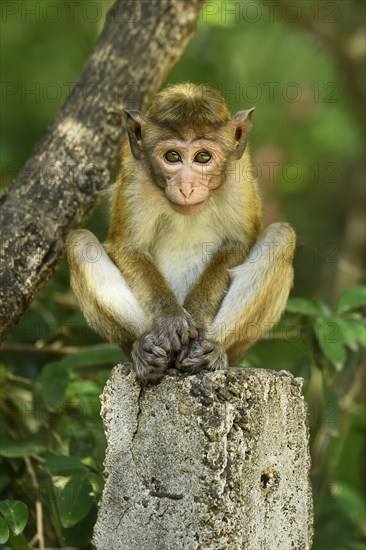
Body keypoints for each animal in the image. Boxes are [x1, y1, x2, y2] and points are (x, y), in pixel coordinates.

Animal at [65, 83, 294, 384]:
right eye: (172, 156)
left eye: (202, 157)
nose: (186, 187)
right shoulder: (135, 176)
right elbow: (128, 247)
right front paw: (170, 318)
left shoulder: (239, 174)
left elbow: (240, 242)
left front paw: (196, 312)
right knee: (79, 242)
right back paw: (146, 349)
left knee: (282, 237)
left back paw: (209, 351)